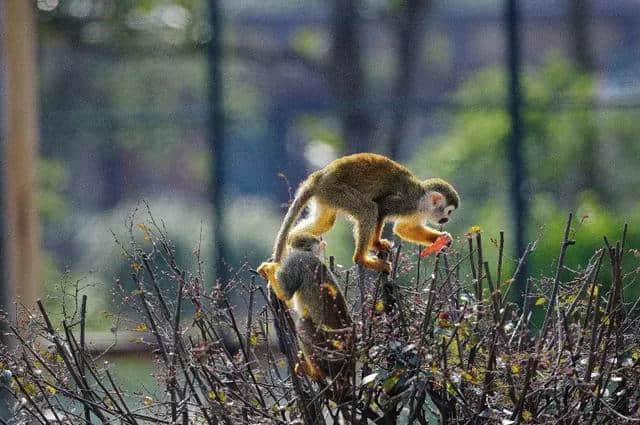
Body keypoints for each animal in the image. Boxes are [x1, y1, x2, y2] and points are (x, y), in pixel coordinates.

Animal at [258, 152, 456, 272]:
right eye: (448, 211)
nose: (446, 220)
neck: (421, 200)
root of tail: (319, 177)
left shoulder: (415, 211)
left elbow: (403, 229)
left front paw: (441, 238)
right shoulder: (406, 203)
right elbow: (381, 208)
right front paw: (376, 244)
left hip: (327, 196)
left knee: (325, 222)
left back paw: (293, 238)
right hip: (337, 190)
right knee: (368, 209)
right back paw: (362, 259)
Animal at [258, 232, 352, 380]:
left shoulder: (296, 260)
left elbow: (285, 293)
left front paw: (269, 268)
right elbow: (288, 298)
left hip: (327, 354)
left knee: (302, 323)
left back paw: (316, 371)